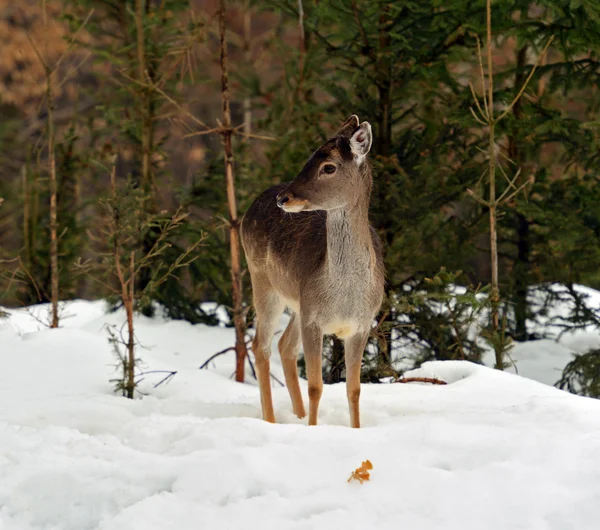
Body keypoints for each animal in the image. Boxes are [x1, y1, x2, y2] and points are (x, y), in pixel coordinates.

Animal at [240, 114, 384, 424]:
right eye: (309, 158)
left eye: (328, 166)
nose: (284, 198)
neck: (345, 295)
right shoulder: (313, 318)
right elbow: (316, 386)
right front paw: (313, 428)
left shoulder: (361, 324)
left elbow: (354, 389)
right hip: (263, 281)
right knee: (261, 345)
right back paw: (272, 420)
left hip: (297, 301)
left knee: (284, 345)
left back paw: (297, 414)